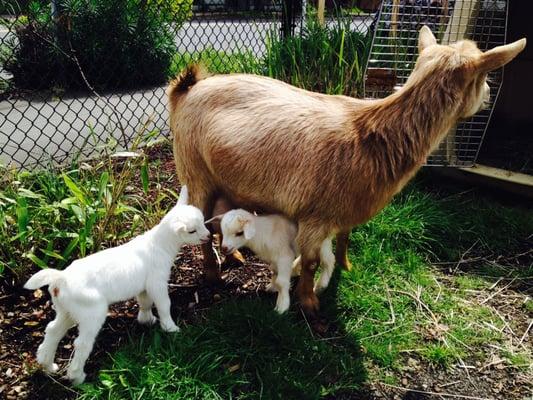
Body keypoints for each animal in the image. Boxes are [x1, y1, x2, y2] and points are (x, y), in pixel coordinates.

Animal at [23, 187, 210, 384]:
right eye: (192, 231)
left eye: (203, 222)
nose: (208, 236)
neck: (160, 244)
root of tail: (61, 278)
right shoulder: (156, 281)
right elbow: (164, 304)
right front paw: (170, 328)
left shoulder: (144, 285)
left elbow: (144, 301)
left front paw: (146, 320)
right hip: (91, 311)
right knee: (81, 343)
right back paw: (77, 377)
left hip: (67, 309)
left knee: (53, 330)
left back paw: (48, 365)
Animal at [167, 26, 524, 318]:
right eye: (485, 77)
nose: (489, 97)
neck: (372, 137)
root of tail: (187, 89)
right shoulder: (313, 216)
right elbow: (310, 262)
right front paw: (310, 303)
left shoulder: (344, 207)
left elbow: (345, 238)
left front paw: (344, 266)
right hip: (195, 171)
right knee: (202, 222)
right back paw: (213, 275)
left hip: (224, 180)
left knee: (218, 218)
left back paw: (235, 257)